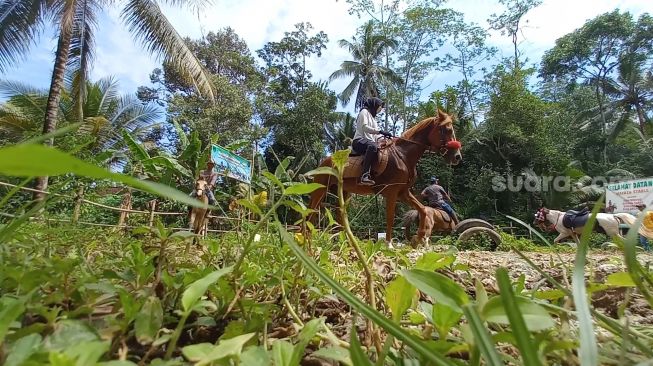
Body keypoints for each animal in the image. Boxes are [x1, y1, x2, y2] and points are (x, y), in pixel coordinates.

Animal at [308, 111, 460, 243]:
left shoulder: (403, 193)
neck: (403, 156)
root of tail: (324, 161)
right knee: (310, 212)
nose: (457, 156)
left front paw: (420, 237)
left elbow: (423, 210)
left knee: (339, 216)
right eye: (446, 130)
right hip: (320, 190)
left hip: (344, 192)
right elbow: (390, 218)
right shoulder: (392, 192)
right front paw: (389, 244)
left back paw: (345, 242)